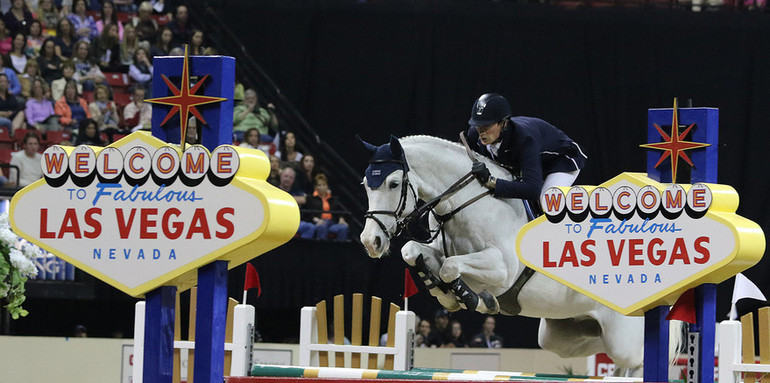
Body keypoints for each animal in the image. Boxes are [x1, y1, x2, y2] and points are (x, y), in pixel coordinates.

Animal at [360, 136, 648, 370]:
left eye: (393, 183)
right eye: (365, 184)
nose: (370, 241)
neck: (466, 203)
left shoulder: (502, 270)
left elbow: (450, 267)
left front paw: (472, 299)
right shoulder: (437, 251)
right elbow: (413, 252)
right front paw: (445, 294)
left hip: (622, 336)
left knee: (636, 360)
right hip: (563, 333)